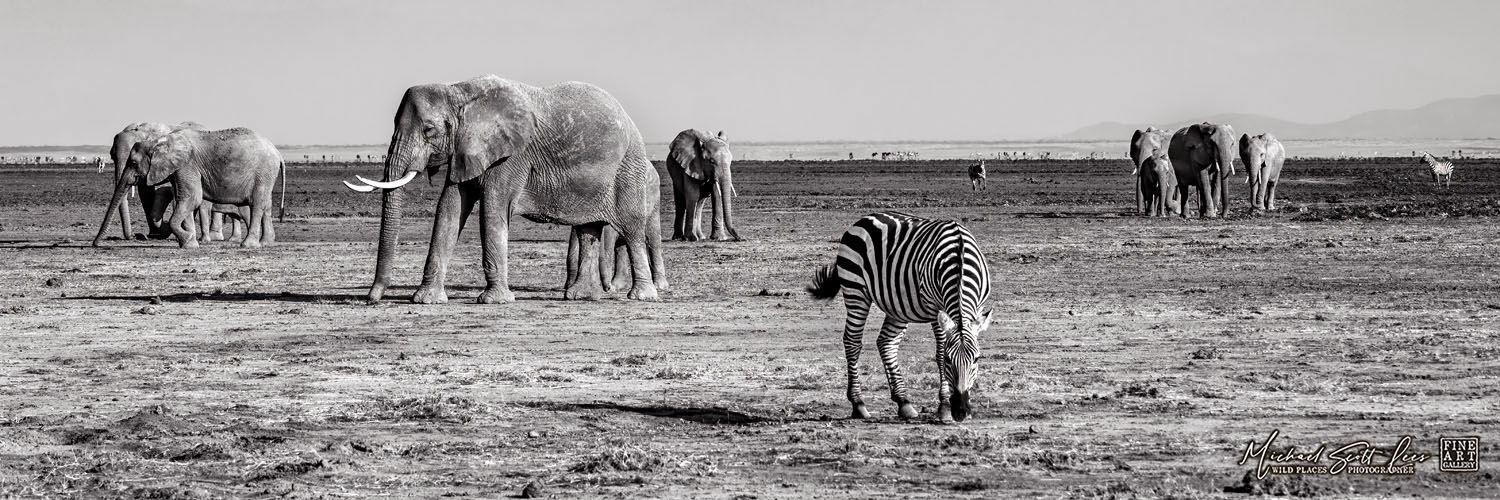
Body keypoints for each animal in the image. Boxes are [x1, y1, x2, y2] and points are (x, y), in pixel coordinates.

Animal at [94, 128, 286, 248]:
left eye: (133, 163)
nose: (95, 244)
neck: (159, 141)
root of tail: (278, 153)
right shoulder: (177, 169)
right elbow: (184, 199)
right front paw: (191, 243)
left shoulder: (187, 165)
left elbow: (192, 198)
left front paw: (189, 241)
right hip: (266, 174)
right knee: (265, 206)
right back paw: (266, 243)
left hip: (263, 172)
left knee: (257, 204)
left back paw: (248, 245)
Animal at [341, 75, 667, 304]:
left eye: (429, 130)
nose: (371, 300)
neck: (459, 92)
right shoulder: (465, 149)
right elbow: (449, 209)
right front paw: (425, 300)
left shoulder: (512, 155)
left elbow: (492, 208)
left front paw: (494, 301)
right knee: (589, 230)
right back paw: (580, 297)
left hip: (628, 169)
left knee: (632, 229)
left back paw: (641, 296)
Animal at [807, 211, 993, 422]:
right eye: (948, 360)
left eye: (977, 359)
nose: (961, 411)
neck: (959, 260)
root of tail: (865, 218)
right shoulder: (935, 307)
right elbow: (938, 352)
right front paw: (944, 406)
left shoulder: (978, 308)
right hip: (855, 289)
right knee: (852, 341)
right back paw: (858, 403)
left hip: (897, 303)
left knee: (886, 342)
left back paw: (903, 402)